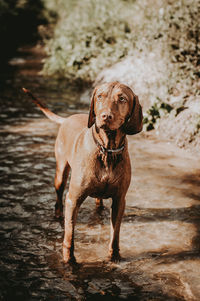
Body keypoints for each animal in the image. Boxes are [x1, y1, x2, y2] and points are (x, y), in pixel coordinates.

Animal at [22, 81, 143, 262]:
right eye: (100, 96)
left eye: (122, 99)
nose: (106, 116)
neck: (106, 150)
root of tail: (68, 118)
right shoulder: (73, 199)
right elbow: (69, 234)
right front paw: (69, 259)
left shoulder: (119, 200)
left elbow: (115, 234)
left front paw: (114, 256)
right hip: (61, 173)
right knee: (58, 198)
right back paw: (58, 214)